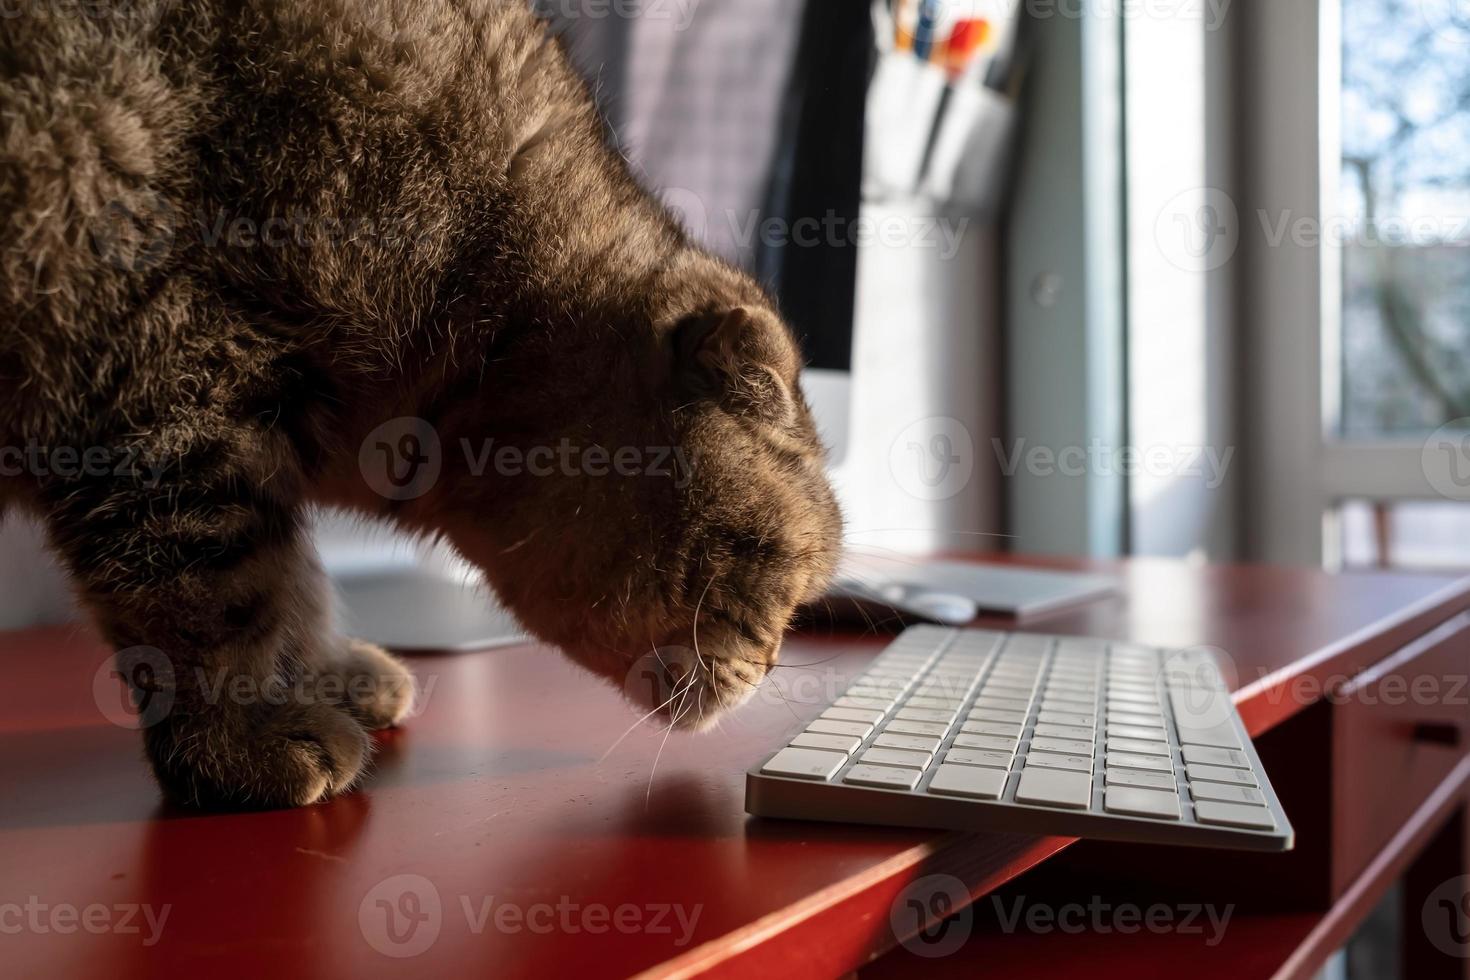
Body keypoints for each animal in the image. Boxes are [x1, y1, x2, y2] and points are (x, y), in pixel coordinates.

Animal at [0, 1, 846, 805]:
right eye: (776, 565)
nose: (777, 663)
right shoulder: (166, 387)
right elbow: (216, 596)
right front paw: (243, 741)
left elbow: (296, 578)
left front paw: (319, 674)